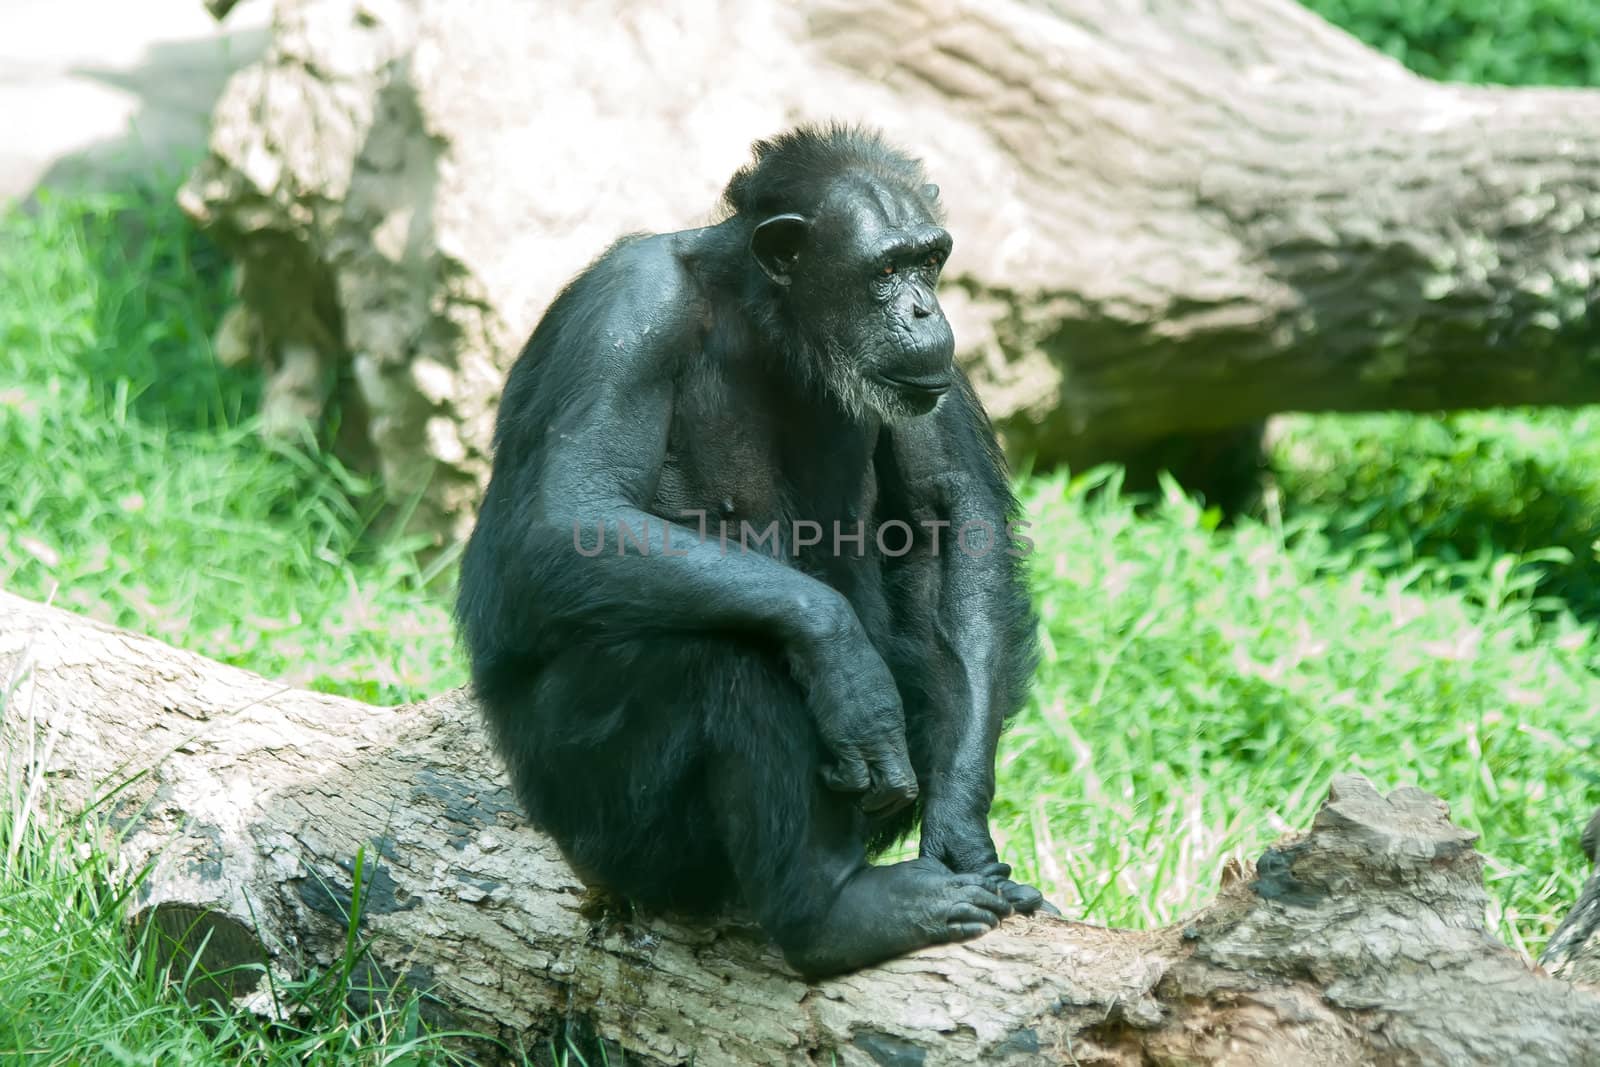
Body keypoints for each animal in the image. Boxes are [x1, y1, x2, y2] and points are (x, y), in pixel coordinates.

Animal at [454, 120, 1049, 979]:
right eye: (885, 269)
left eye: (930, 259)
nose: (921, 307)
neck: (768, 317)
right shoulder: (629, 309)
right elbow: (572, 512)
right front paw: (843, 661)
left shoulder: (928, 373)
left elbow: (948, 517)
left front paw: (962, 831)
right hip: (598, 822)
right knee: (732, 649)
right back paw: (833, 911)